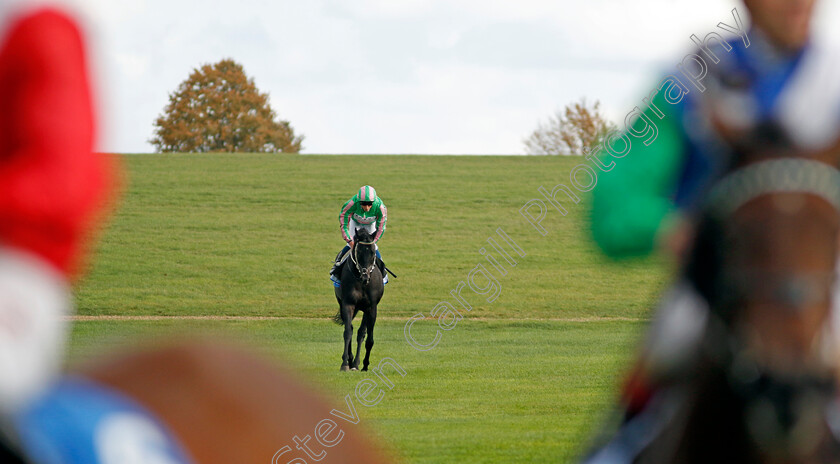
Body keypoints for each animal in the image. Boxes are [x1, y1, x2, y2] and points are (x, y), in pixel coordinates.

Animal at [332, 228, 384, 374]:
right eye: (359, 252)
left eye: (372, 252)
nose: (365, 277)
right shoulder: (347, 304)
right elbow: (348, 332)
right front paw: (345, 363)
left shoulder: (371, 308)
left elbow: (367, 338)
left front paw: (364, 364)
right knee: (349, 327)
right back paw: (350, 361)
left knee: (361, 333)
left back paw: (356, 363)